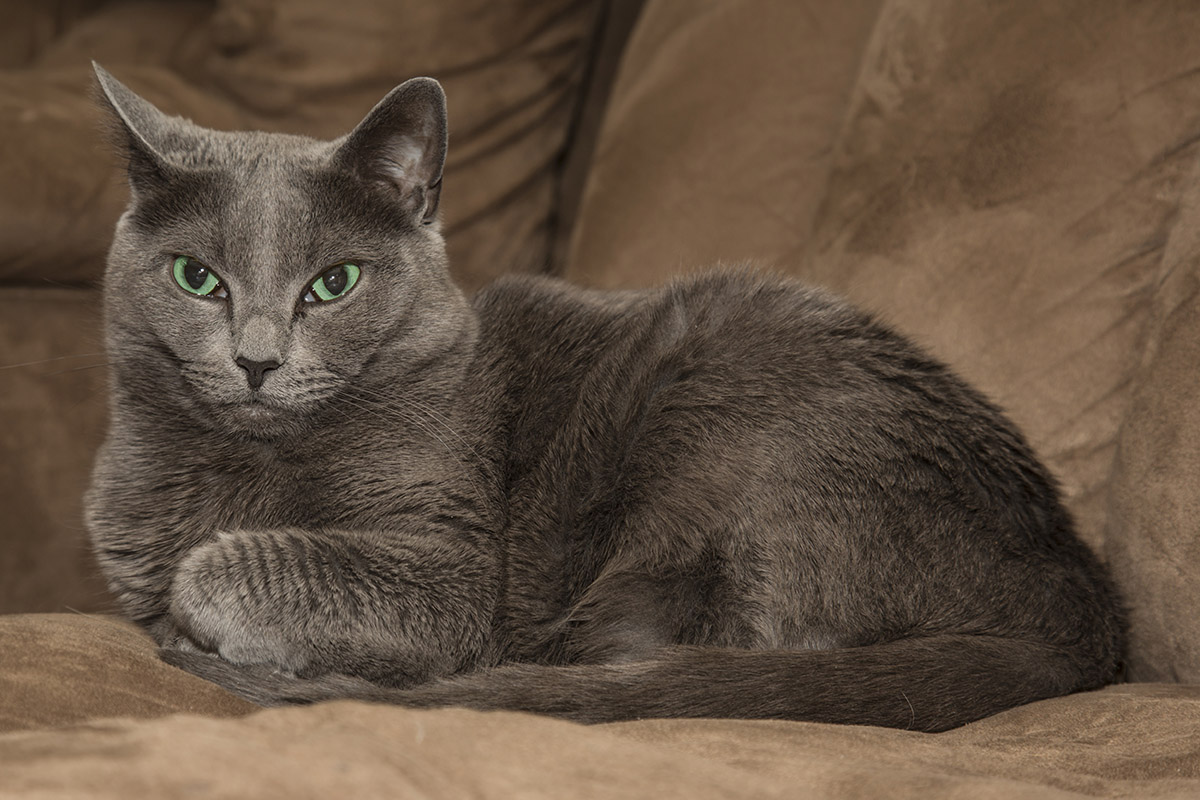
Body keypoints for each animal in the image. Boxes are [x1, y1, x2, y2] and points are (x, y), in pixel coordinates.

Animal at [87, 65, 1123, 734]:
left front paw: (212, 623)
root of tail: (1083, 597)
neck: (233, 463)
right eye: (198, 278)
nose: (257, 360)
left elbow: (219, 568)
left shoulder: (454, 569)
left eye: (333, 283)